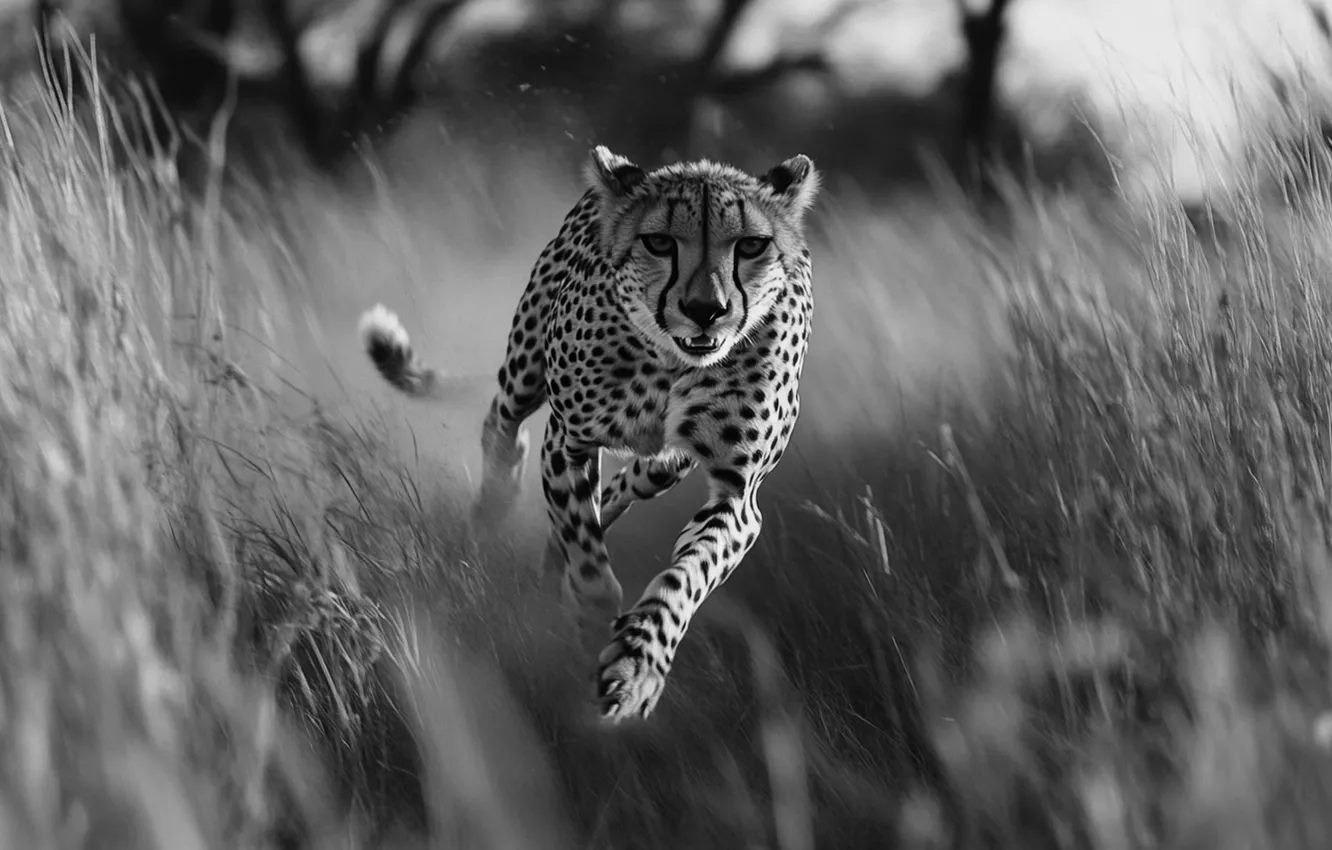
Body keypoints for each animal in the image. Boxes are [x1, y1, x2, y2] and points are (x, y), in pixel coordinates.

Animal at [358, 145, 819, 722]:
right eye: (659, 242)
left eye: (752, 245)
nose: (705, 310)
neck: (672, 361)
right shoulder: (568, 441)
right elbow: (587, 551)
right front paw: (590, 621)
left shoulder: (737, 496)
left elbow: (684, 577)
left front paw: (637, 667)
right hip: (526, 368)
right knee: (501, 426)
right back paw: (494, 510)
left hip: (663, 466)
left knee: (628, 482)